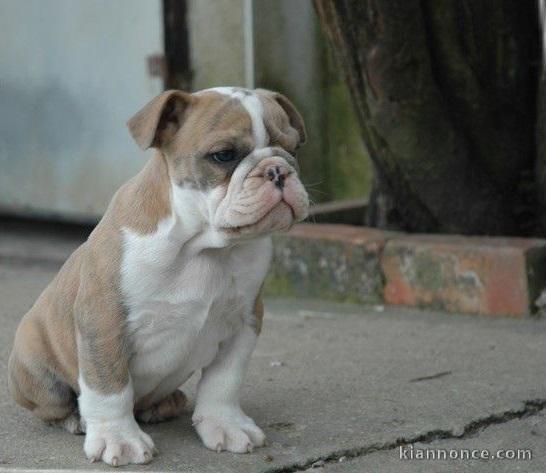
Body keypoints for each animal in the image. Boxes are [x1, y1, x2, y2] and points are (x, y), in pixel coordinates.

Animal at [8, 87, 308, 464]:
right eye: (224, 155)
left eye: (294, 149)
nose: (278, 170)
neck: (203, 248)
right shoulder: (103, 320)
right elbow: (109, 386)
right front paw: (117, 438)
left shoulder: (244, 321)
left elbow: (224, 381)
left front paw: (225, 424)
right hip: (35, 365)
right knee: (55, 405)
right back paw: (78, 419)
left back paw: (165, 403)